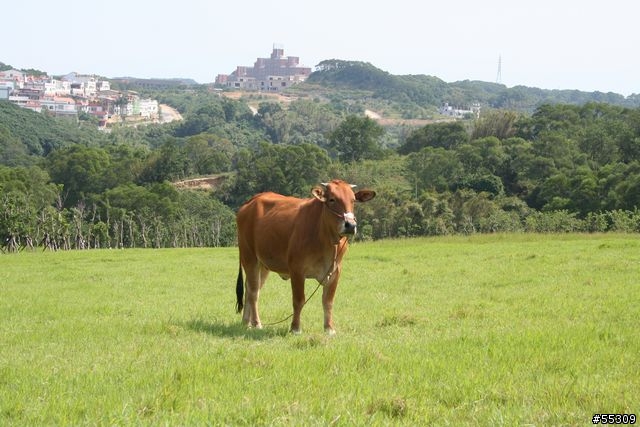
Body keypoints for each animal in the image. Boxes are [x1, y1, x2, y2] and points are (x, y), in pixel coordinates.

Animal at [235, 179, 376, 336]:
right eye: (332, 199)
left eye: (353, 200)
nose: (350, 225)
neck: (326, 239)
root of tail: (250, 202)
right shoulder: (297, 270)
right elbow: (298, 300)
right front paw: (295, 328)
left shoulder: (335, 272)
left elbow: (328, 301)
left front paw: (329, 328)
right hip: (249, 257)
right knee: (253, 292)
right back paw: (256, 323)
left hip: (263, 264)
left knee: (250, 289)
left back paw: (246, 322)